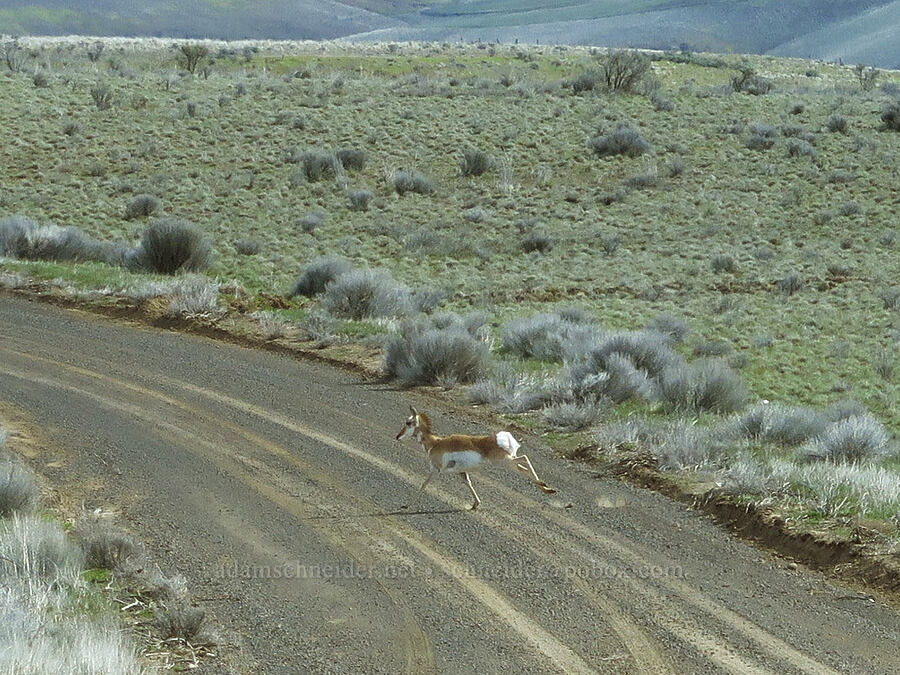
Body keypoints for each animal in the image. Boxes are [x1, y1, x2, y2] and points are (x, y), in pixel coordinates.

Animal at [396, 404, 556, 510]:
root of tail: (502, 437)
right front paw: (475, 504)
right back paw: (546, 488)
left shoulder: (435, 469)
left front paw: (407, 504)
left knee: (524, 458)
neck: (436, 442)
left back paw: (543, 485)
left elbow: (424, 484)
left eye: (408, 422)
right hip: (508, 462)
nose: (397, 437)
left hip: (505, 462)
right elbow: (468, 483)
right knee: (523, 466)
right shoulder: (461, 472)